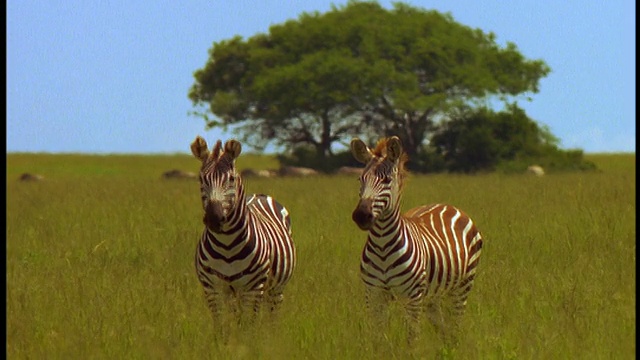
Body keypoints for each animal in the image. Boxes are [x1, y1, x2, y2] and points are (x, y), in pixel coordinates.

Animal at [190, 136, 298, 328]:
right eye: (201, 179)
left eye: (231, 179)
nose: (214, 218)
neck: (226, 245)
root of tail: (260, 195)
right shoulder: (213, 290)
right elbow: (222, 327)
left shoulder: (252, 290)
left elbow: (249, 328)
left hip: (275, 288)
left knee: (273, 314)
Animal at [352, 136, 482, 346]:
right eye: (360, 179)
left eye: (387, 180)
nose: (361, 215)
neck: (382, 246)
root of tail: (447, 205)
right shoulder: (373, 295)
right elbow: (377, 338)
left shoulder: (412, 297)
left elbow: (412, 338)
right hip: (433, 296)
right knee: (443, 329)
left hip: (462, 287)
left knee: (455, 326)